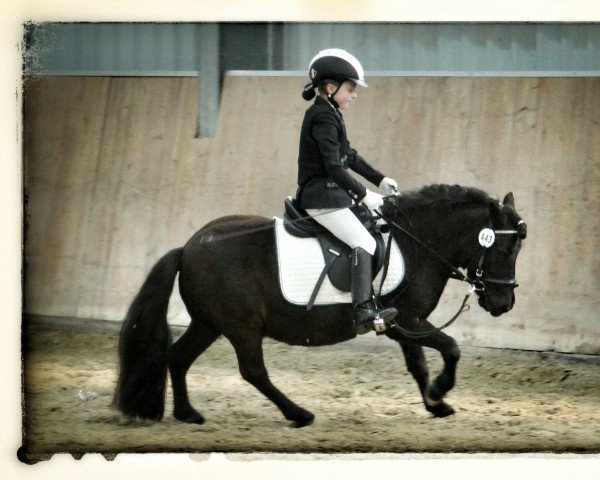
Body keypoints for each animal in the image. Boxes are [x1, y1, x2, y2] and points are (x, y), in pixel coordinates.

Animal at [112, 184, 524, 428]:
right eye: (504, 248)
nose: (504, 303)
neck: (417, 244)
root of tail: (189, 247)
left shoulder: (402, 323)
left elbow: (418, 364)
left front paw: (434, 404)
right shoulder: (407, 319)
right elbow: (451, 348)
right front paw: (440, 391)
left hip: (208, 323)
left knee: (178, 357)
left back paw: (187, 413)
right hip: (241, 327)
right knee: (253, 371)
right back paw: (298, 414)